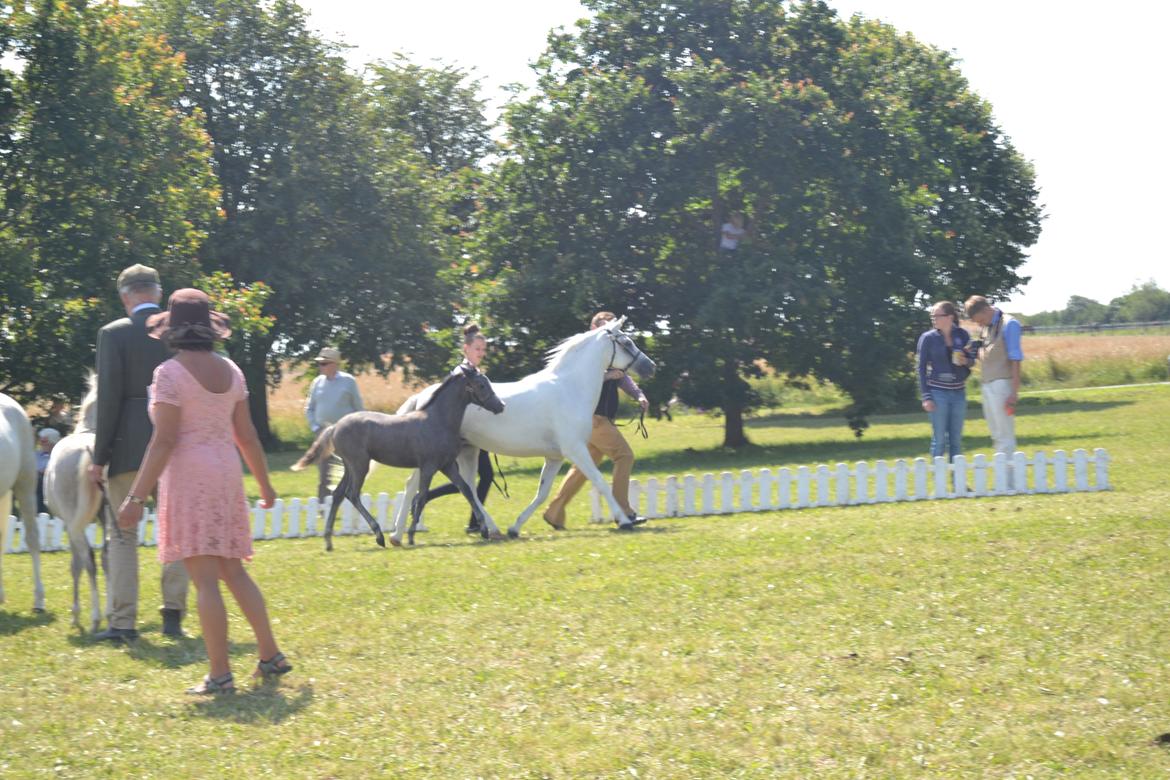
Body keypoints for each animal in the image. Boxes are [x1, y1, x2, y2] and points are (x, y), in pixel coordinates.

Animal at [292, 367, 503, 549]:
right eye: (481, 385)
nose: (500, 406)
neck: (438, 421)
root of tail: (335, 426)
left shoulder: (448, 465)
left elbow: (465, 489)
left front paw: (484, 530)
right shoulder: (429, 466)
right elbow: (422, 496)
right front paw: (410, 536)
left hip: (349, 467)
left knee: (337, 494)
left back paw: (329, 542)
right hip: (359, 465)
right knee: (352, 494)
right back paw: (379, 536)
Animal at [390, 318, 650, 542]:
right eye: (626, 342)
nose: (651, 366)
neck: (569, 389)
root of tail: (421, 397)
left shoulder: (555, 457)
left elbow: (543, 493)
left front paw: (515, 527)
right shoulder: (576, 450)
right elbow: (600, 482)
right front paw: (625, 521)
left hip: (468, 450)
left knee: (467, 487)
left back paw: (491, 530)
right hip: (438, 455)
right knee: (415, 485)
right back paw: (397, 535)